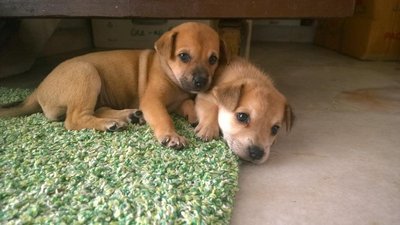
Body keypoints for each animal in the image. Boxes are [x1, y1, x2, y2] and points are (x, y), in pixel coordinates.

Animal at [0, 22, 227, 149]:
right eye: (184, 56)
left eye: (213, 59)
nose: (201, 82)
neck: (169, 74)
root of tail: (38, 89)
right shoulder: (153, 102)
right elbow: (164, 118)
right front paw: (171, 136)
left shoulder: (178, 101)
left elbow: (188, 104)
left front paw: (195, 116)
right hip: (86, 73)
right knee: (74, 119)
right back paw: (110, 123)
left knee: (95, 110)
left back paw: (129, 116)